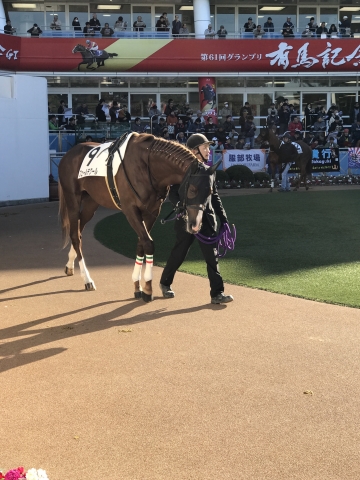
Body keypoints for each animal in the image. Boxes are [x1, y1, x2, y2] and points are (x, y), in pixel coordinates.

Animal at [57, 133, 219, 302]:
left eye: (210, 191)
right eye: (193, 189)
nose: (195, 225)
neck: (147, 166)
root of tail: (69, 153)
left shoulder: (152, 211)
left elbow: (141, 244)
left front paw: (137, 285)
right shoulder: (130, 210)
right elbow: (148, 243)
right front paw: (147, 288)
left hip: (91, 201)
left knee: (79, 230)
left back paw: (70, 265)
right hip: (73, 199)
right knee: (75, 235)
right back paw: (87, 279)